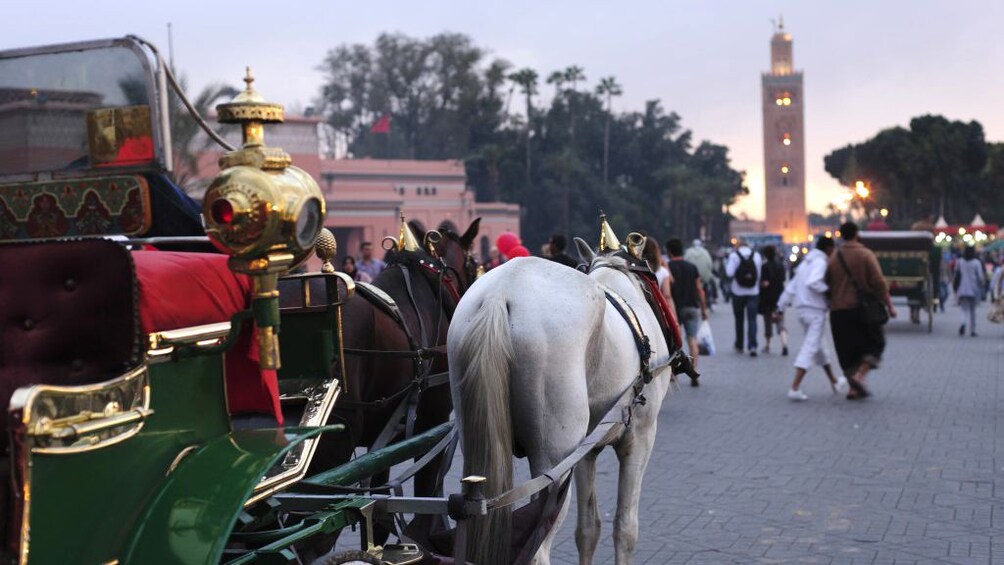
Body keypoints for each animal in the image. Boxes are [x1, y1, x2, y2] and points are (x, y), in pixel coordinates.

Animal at [451, 239, 678, 565]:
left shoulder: (586, 450)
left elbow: (588, 529)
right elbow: (625, 527)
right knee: (537, 549)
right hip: (554, 462)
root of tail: (500, 294)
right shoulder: (640, 437)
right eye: (654, 279)